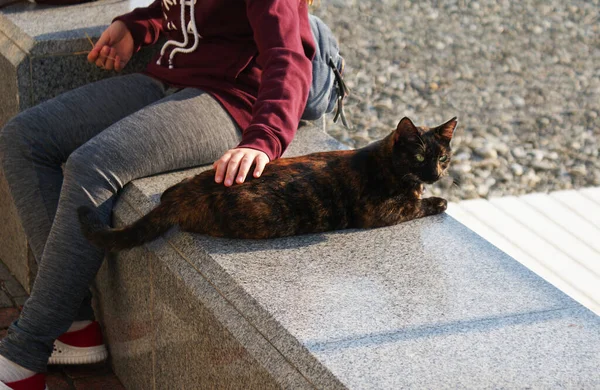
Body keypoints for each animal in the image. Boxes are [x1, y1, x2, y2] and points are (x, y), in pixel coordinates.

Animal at [78, 116, 454, 251]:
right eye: (419, 157)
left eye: (443, 158)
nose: (436, 175)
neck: (388, 163)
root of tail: (182, 195)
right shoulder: (378, 211)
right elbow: (415, 205)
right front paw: (437, 201)